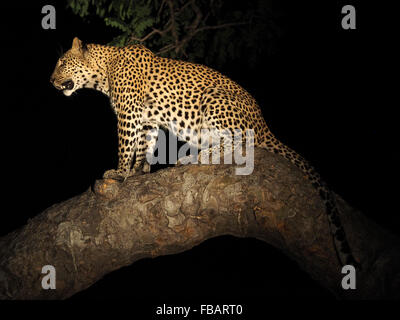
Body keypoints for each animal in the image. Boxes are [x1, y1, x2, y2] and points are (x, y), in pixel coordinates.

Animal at [49, 35, 360, 270]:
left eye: (62, 62)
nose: (51, 81)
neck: (104, 72)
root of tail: (264, 124)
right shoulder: (146, 119)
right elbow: (144, 146)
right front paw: (139, 171)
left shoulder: (128, 114)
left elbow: (125, 145)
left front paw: (119, 172)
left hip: (214, 102)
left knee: (238, 144)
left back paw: (194, 157)